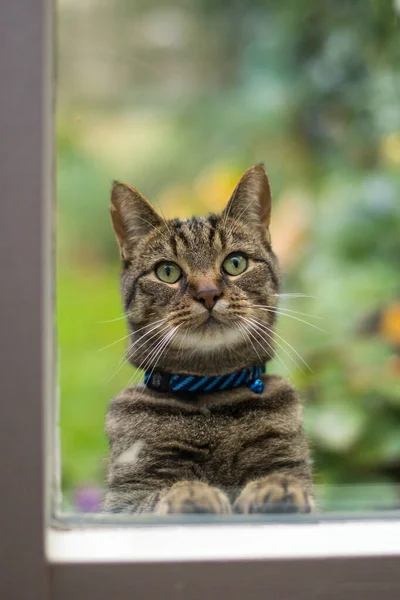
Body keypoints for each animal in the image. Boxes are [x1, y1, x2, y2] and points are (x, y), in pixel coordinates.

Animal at [104, 166, 316, 512]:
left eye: (235, 263)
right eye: (167, 271)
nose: (208, 293)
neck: (210, 389)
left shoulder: (289, 461)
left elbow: (284, 478)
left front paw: (275, 488)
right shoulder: (124, 498)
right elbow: (158, 496)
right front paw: (192, 492)